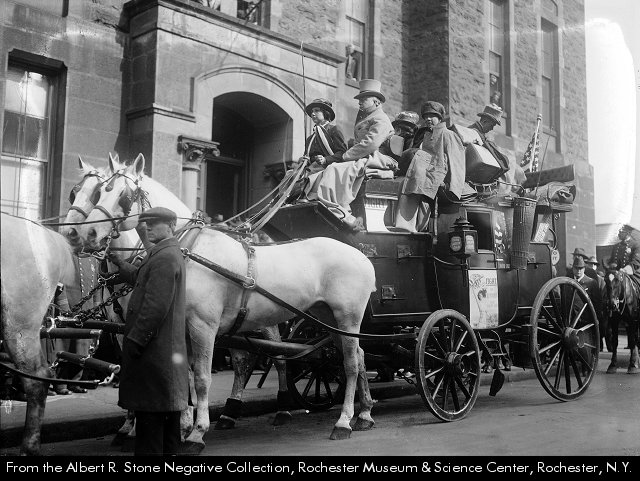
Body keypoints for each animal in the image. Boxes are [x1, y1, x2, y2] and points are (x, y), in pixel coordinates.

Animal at [76, 153, 377, 451]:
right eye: (98, 192)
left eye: (124, 196)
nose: (86, 234)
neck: (189, 249)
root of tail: (362, 255)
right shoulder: (178, 328)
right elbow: (184, 375)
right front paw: (182, 426)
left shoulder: (203, 326)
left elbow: (201, 378)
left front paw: (197, 432)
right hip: (327, 317)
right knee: (358, 357)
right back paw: (364, 413)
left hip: (348, 317)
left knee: (349, 363)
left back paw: (343, 421)